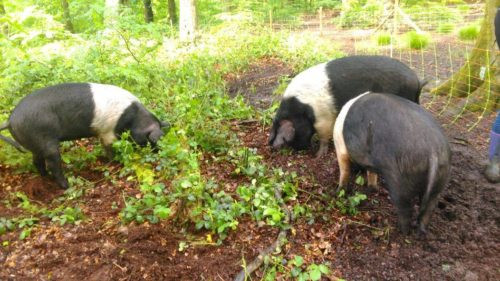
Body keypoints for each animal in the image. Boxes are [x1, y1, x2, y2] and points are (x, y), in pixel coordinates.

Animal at [268, 54, 424, 158]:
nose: (301, 149)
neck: (301, 108)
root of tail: (416, 81)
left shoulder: (323, 118)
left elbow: (324, 136)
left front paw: (318, 155)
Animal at [334, 91, 452, 234]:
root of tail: (433, 151)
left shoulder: (340, 147)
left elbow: (344, 169)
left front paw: (338, 191)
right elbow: (371, 173)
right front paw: (371, 188)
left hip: (400, 178)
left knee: (405, 209)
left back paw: (400, 231)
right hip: (441, 178)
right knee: (428, 209)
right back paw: (421, 232)